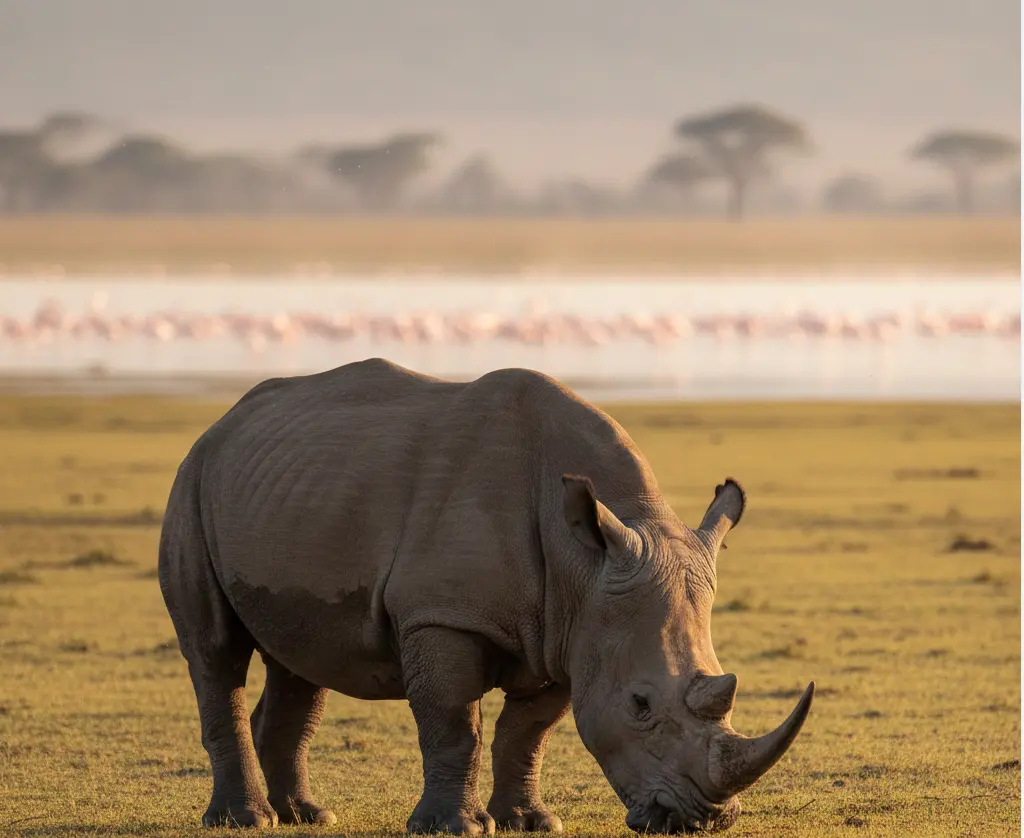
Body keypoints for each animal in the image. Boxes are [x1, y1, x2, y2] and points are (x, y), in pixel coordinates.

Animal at [158, 358, 814, 834]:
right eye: (640, 704)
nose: (702, 820)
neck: (584, 561)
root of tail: (223, 421)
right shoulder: (443, 615)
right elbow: (454, 722)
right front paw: (453, 827)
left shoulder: (569, 627)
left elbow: (529, 731)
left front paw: (530, 822)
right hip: (192, 480)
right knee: (215, 652)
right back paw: (245, 820)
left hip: (292, 494)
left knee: (302, 659)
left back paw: (308, 816)